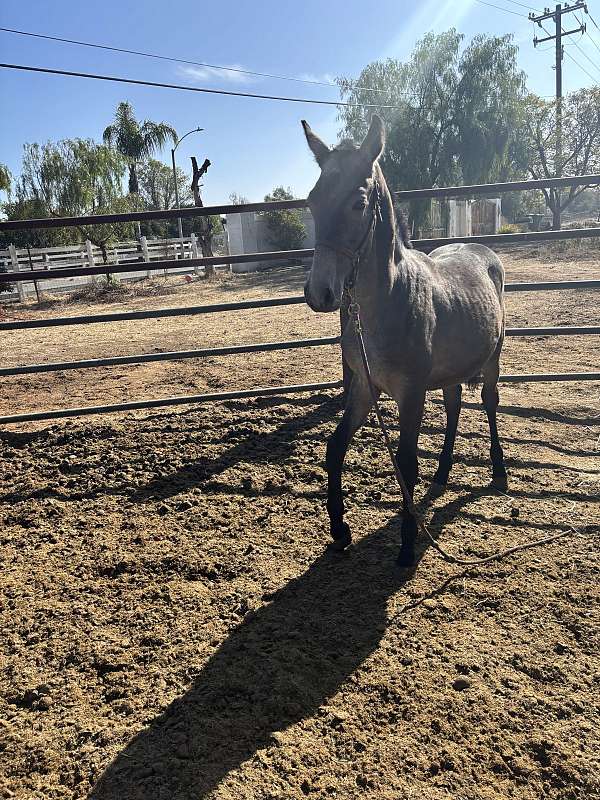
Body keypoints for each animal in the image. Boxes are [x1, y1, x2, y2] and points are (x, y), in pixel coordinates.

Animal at [304, 115, 506, 564]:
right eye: (311, 200)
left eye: (359, 203)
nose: (318, 293)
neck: (388, 302)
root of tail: (483, 251)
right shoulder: (365, 389)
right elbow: (335, 448)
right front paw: (339, 530)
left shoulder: (411, 393)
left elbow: (407, 464)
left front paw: (408, 545)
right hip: (451, 371)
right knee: (454, 406)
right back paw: (444, 470)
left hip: (492, 360)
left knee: (488, 403)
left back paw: (499, 472)